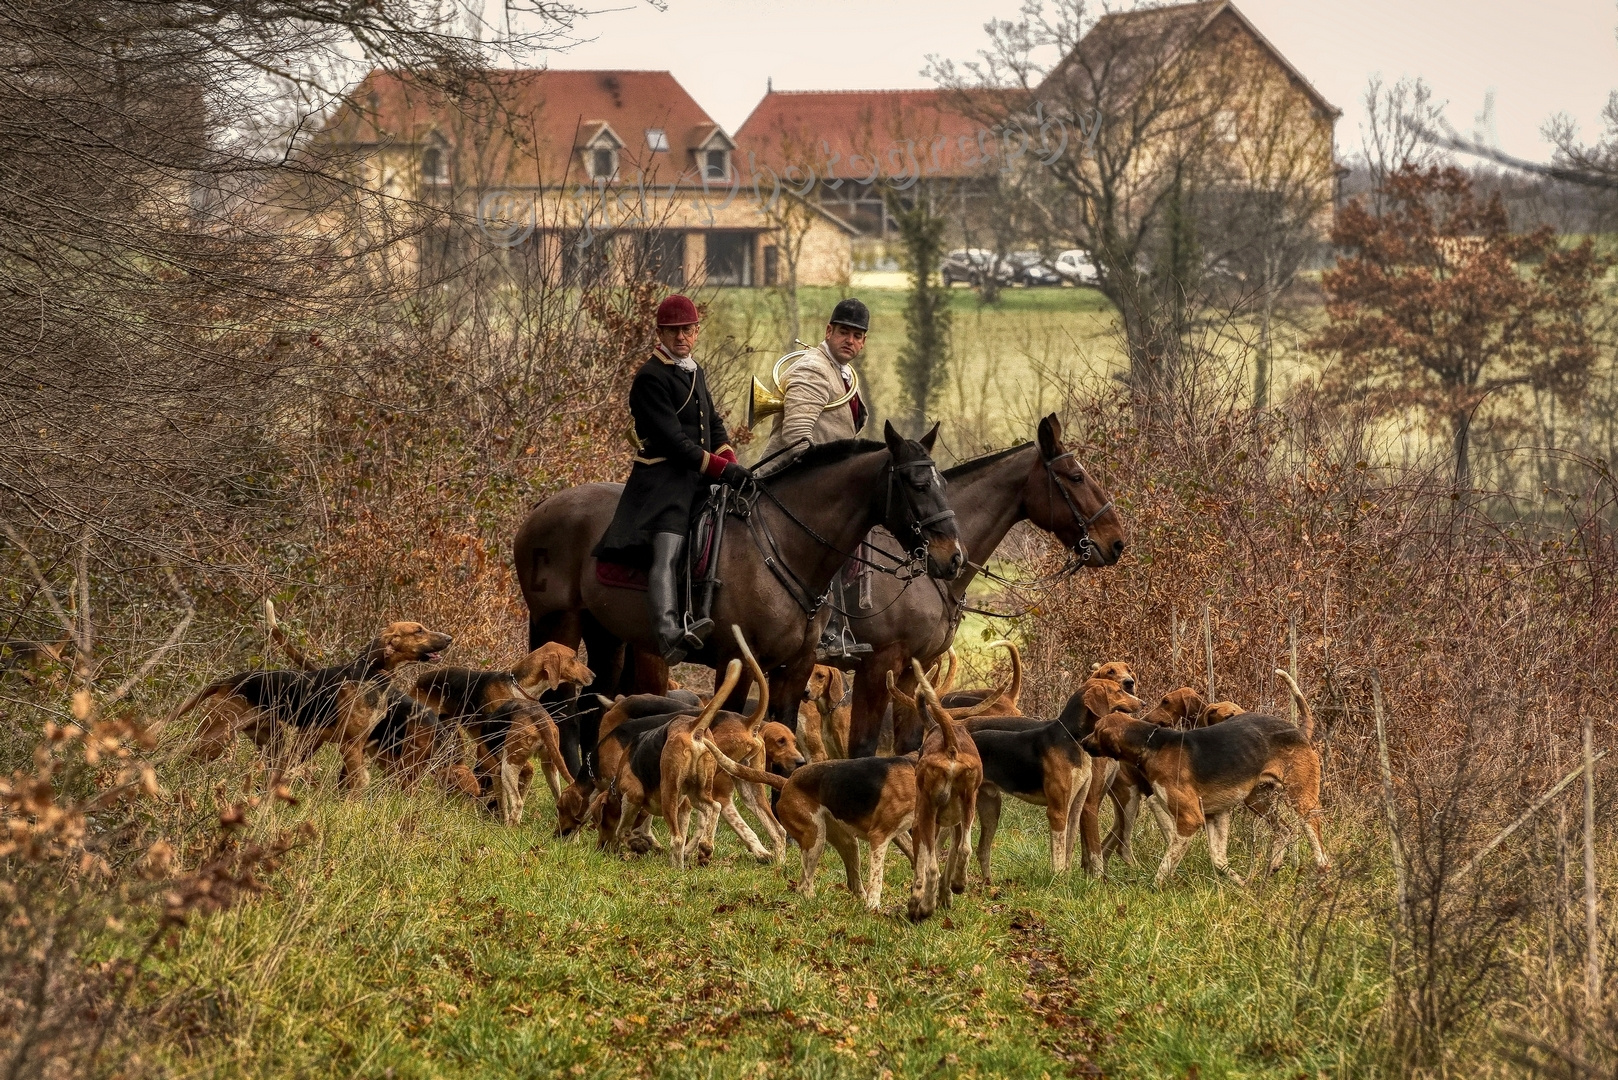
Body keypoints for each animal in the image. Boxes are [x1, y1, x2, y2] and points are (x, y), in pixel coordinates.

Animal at [514, 417, 957, 764]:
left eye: (942, 483)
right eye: (918, 484)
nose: (951, 556)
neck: (784, 543)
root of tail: (542, 508)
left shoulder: (797, 667)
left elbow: (784, 734)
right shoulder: (742, 661)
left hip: (607, 636)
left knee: (594, 704)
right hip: (560, 624)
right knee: (558, 707)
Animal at [841, 414, 1119, 761]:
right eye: (1076, 477)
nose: (1117, 541)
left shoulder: (917, 668)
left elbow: (911, 744)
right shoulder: (877, 666)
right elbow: (862, 749)